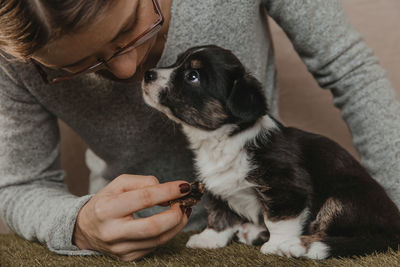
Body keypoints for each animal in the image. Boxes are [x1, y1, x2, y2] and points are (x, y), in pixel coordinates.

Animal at [141, 45, 400, 260]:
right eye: (176, 61)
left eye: (192, 76)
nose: (147, 74)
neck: (224, 139)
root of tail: (393, 231)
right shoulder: (218, 186)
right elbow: (219, 213)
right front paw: (209, 238)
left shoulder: (285, 186)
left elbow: (279, 219)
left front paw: (277, 245)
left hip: (344, 197)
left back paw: (297, 246)